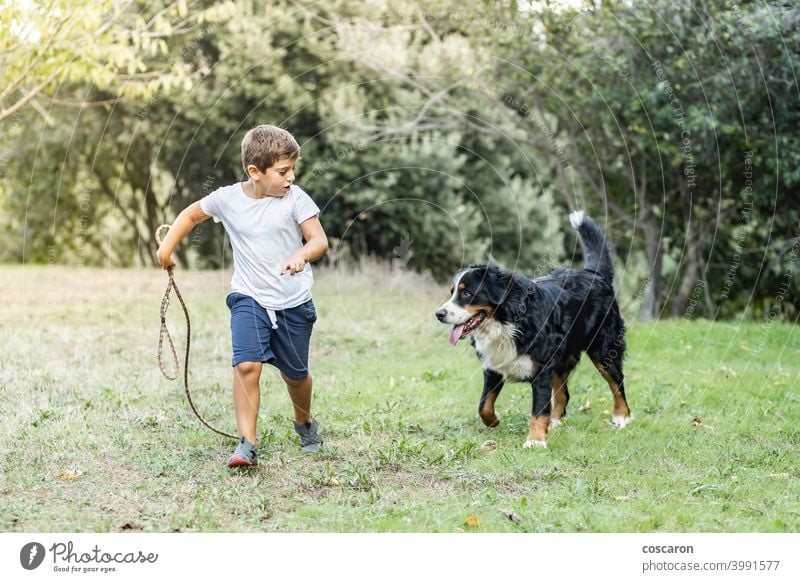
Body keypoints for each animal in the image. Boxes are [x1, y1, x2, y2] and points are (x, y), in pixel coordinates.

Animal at [438, 212, 632, 450]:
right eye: (452, 292)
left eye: (466, 294)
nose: (439, 313)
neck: (506, 322)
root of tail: (593, 274)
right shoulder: (493, 368)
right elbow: (483, 405)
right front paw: (494, 422)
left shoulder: (541, 370)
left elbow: (538, 409)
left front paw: (536, 440)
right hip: (561, 360)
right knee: (563, 395)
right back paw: (555, 421)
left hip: (603, 350)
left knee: (617, 382)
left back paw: (621, 416)